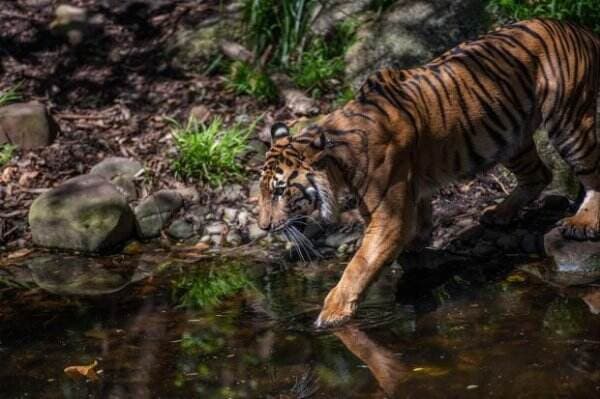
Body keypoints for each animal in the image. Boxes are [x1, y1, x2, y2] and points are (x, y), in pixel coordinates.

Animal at [256, 18, 600, 328]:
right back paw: (498, 213)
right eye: (262, 191)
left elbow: (359, 265)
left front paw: (330, 315)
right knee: (539, 174)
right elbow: (418, 217)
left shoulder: (388, 214)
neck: (339, 163)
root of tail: (578, 28)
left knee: (591, 171)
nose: (264, 226)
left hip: (568, 121)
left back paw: (582, 222)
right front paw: (417, 243)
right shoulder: (410, 189)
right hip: (510, 137)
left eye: (280, 190)